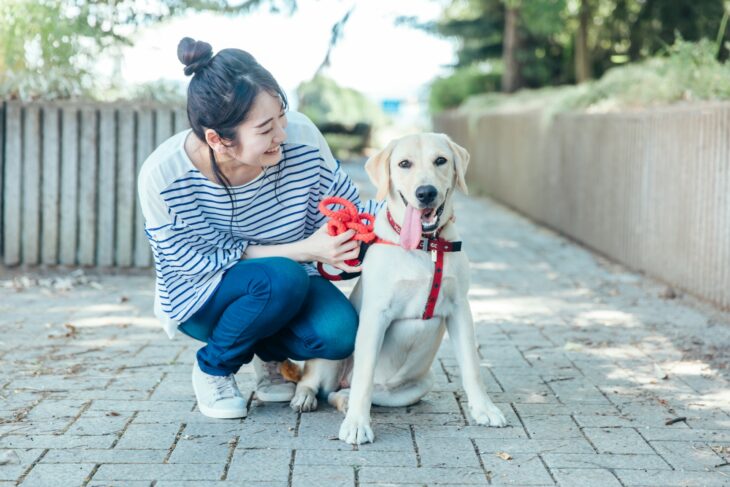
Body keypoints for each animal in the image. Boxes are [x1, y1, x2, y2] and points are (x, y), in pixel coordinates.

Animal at [288, 133, 504, 446]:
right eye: (404, 164)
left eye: (441, 160)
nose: (425, 193)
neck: (426, 245)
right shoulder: (376, 315)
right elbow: (364, 377)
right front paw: (357, 425)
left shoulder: (460, 308)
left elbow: (472, 367)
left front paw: (484, 409)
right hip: (330, 359)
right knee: (316, 382)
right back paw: (307, 398)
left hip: (418, 385)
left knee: (342, 393)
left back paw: (344, 401)